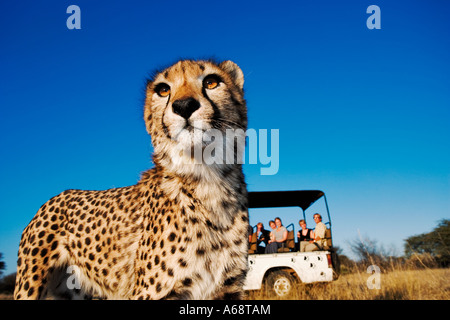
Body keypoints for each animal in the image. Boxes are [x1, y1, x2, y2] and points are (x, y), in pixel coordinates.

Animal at [14, 59, 250, 300]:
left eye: (211, 82)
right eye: (163, 90)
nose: (183, 105)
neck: (207, 177)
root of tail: (59, 195)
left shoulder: (227, 290)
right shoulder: (150, 293)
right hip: (29, 286)